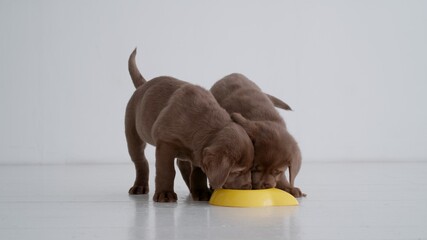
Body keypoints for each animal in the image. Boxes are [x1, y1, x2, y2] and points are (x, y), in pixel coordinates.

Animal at [124, 50, 254, 202]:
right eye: (237, 171)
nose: (249, 188)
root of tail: (143, 86)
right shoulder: (165, 143)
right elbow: (166, 170)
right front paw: (165, 194)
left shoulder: (199, 151)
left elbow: (198, 172)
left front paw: (201, 191)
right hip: (132, 133)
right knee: (140, 161)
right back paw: (139, 186)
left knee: (182, 165)